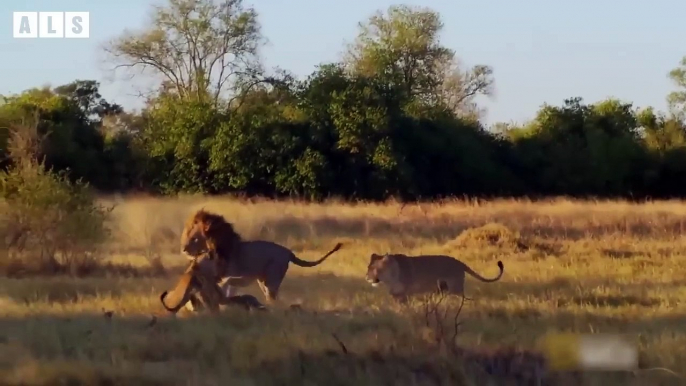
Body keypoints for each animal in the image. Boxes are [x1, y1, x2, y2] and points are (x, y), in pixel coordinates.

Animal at [181, 210, 346, 304]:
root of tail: (289, 252)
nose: (183, 249)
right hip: (263, 281)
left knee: (273, 298)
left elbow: (225, 287)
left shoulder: (232, 276)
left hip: (272, 279)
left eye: (194, 238)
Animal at [366, 252, 506, 304]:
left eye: (375, 269)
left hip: (455, 289)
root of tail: (459, 262)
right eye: (368, 268)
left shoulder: (405, 294)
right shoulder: (396, 295)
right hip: (443, 289)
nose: (366, 277)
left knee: (462, 299)